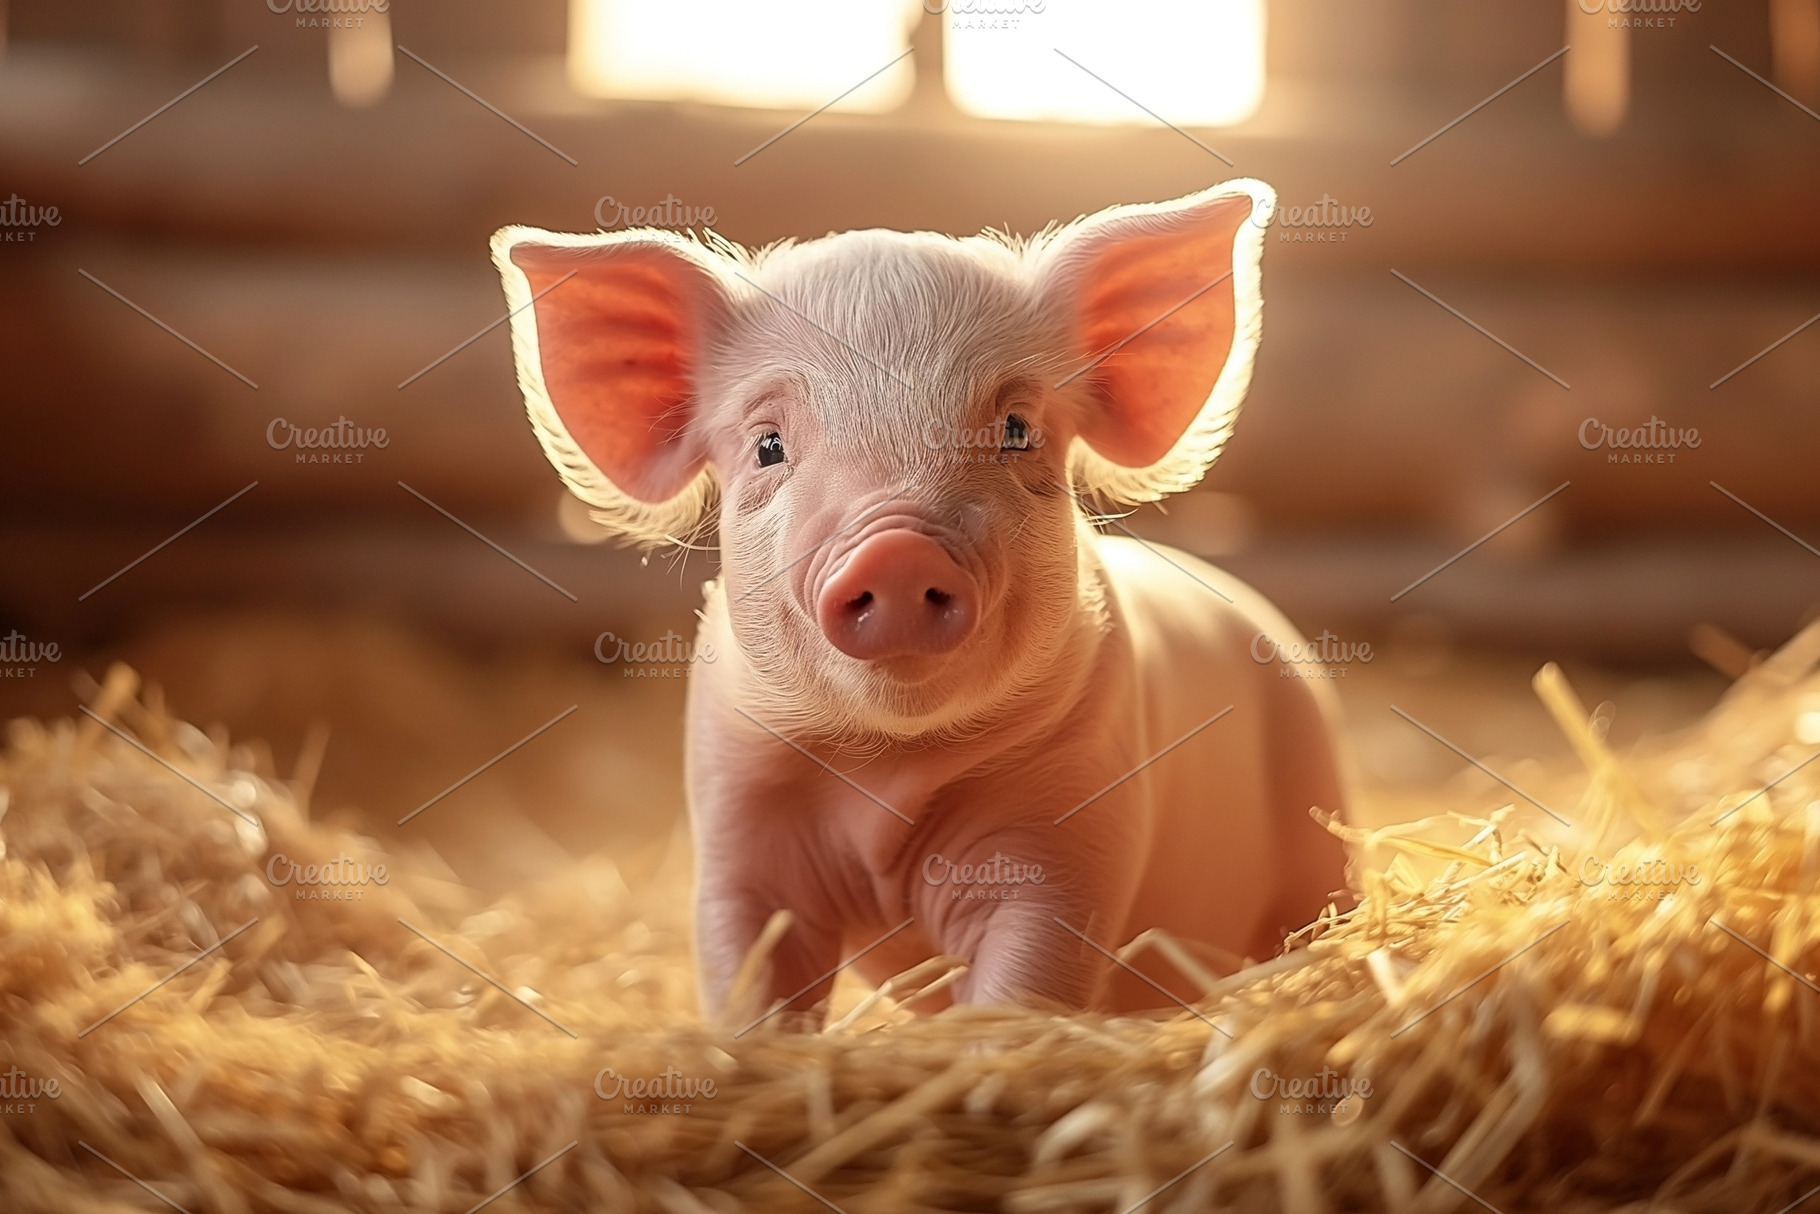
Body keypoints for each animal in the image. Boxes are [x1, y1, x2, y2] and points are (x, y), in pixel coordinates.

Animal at [491, 180, 1350, 1020]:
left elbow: (1023, 984)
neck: (886, 779)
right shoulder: (737, 830)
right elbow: (749, 977)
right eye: (769, 445)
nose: (895, 548)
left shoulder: (1072, 836)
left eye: (1016, 429)